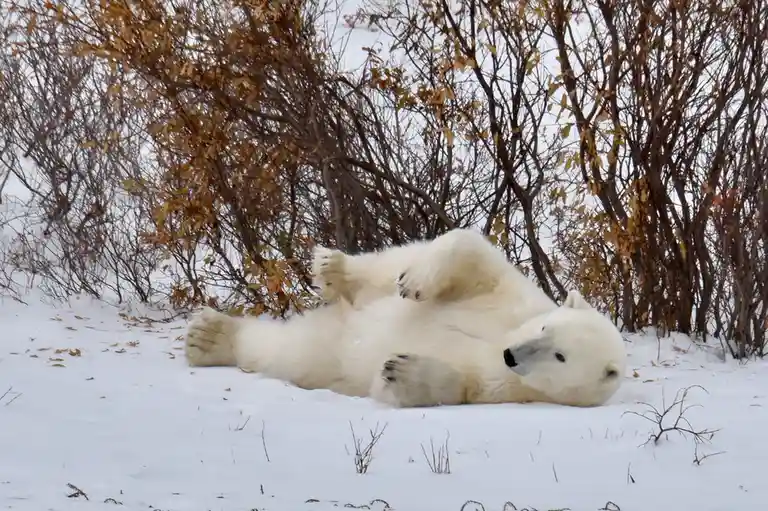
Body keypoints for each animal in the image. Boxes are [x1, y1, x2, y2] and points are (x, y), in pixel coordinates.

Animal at [184, 227, 627, 408]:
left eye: (560, 357)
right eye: (545, 327)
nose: (512, 355)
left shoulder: (506, 387)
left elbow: (457, 383)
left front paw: (401, 370)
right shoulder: (518, 299)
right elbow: (474, 253)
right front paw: (416, 282)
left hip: (332, 349)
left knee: (292, 351)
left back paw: (208, 337)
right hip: (371, 295)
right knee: (387, 265)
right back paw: (334, 269)